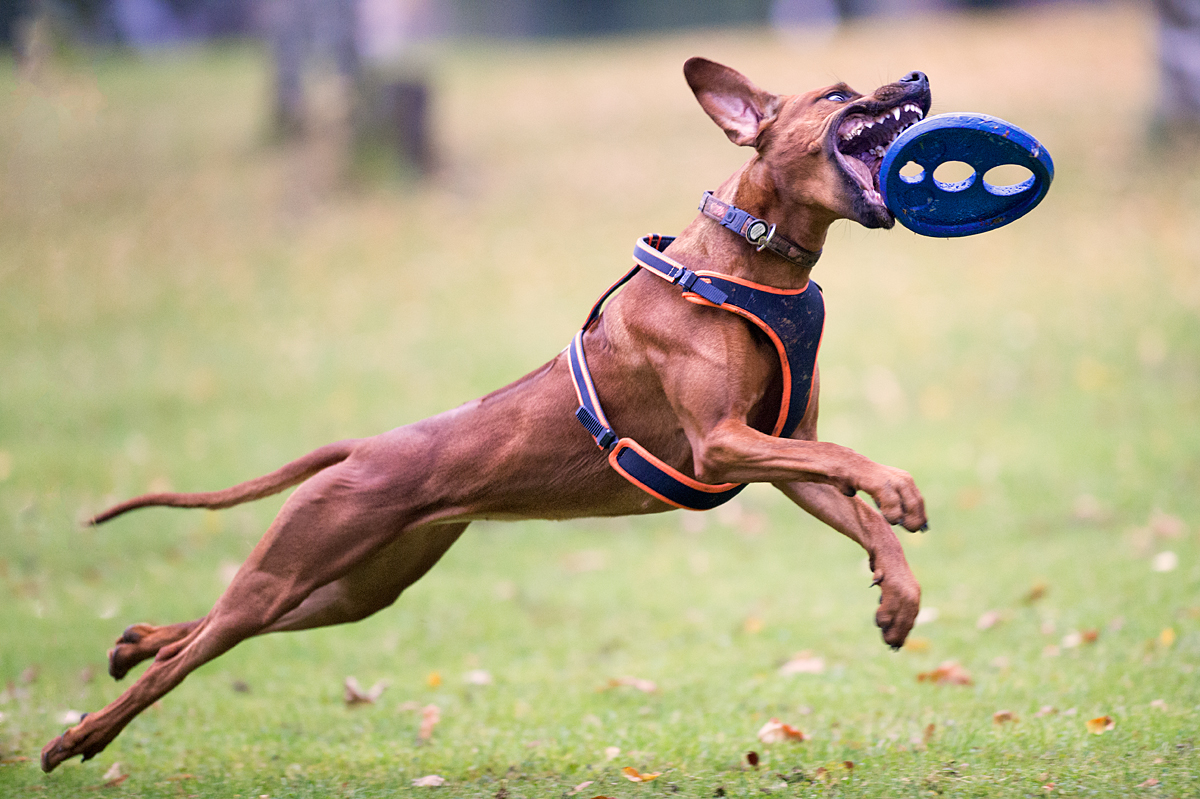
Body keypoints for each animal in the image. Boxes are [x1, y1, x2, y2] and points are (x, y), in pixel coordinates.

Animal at [42, 59, 931, 767]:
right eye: (840, 93)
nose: (918, 77)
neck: (750, 257)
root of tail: (365, 446)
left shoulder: (779, 449)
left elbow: (856, 507)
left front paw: (898, 594)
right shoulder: (721, 445)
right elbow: (855, 463)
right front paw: (900, 488)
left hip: (353, 586)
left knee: (211, 627)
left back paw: (134, 640)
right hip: (299, 562)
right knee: (192, 654)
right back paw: (82, 732)